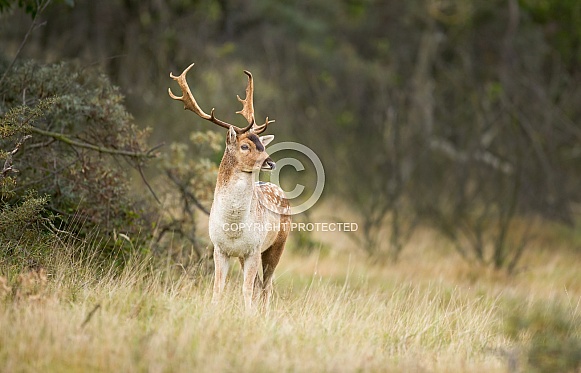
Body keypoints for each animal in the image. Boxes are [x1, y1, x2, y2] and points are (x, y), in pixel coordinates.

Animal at [170, 62, 292, 310]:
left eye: (262, 144)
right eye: (245, 146)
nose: (270, 162)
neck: (233, 228)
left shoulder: (253, 248)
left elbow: (246, 290)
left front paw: (249, 315)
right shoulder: (219, 249)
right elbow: (218, 288)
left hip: (277, 245)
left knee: (267, 286)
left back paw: (264, 312)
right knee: (261, 285)